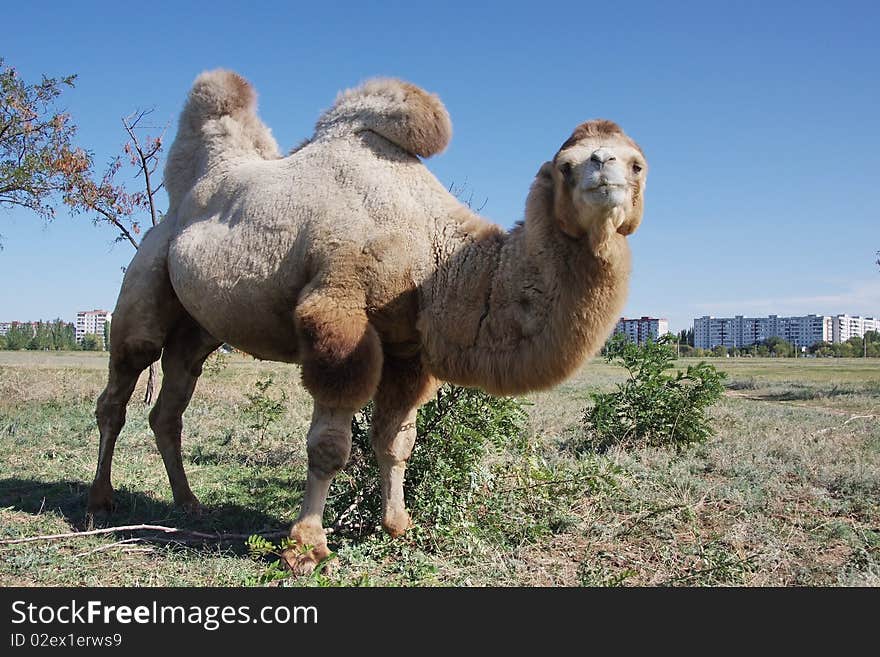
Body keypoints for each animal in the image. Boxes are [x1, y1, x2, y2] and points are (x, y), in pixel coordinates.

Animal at [87, 69, 648, 576]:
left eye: (638, 163)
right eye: (566, 166)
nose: (605, 170)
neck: (434, 252)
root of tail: (177, 206)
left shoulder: (407, 349)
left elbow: (395, 442)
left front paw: (398, 526)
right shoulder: (337, 318)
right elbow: (331, 446)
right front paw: (306, 548)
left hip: (199, 330)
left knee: (171, 404)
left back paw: (188, 503)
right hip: (144, 285)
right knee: (121, 385)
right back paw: (100, 501)